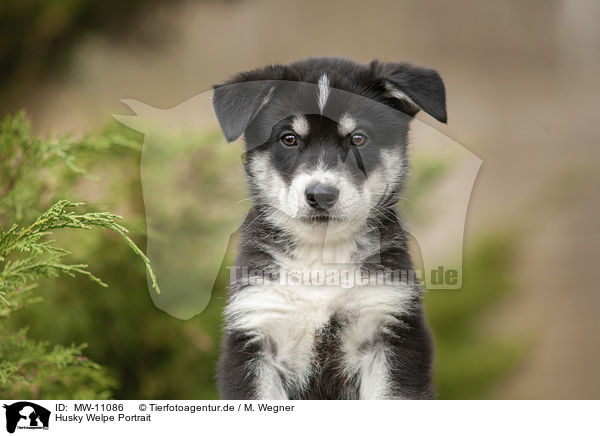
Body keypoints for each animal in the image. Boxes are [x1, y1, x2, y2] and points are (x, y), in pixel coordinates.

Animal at [211, 56, 446, 400]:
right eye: (289, 138)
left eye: (358, 138)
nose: (321, 195)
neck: (322, 257)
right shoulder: (257, 330)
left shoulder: (389, 328)